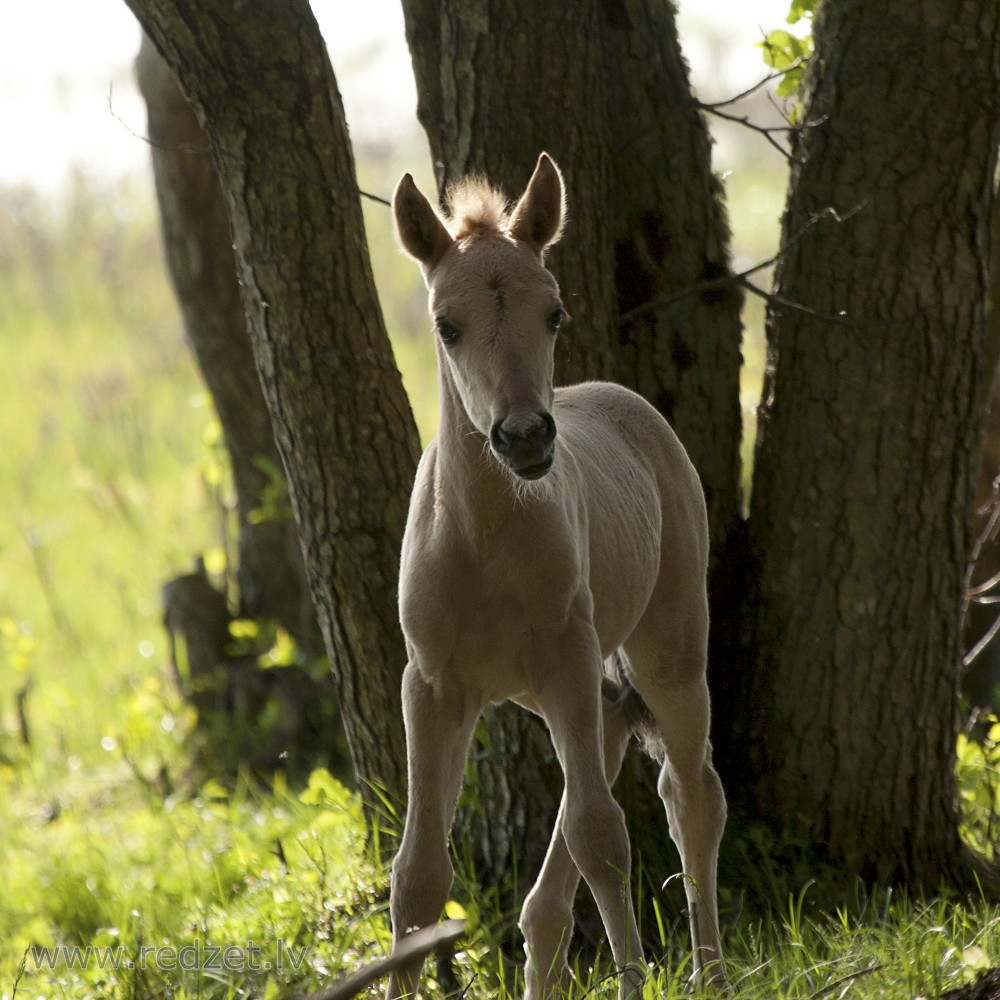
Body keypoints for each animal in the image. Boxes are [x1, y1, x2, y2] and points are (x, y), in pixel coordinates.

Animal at [384, 152, 728, 996]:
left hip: (665, 647)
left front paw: (636, 982)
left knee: (690, 797)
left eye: (556, 314)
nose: (525, 437)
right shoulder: (432, 686)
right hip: (568, 691)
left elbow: (604, 837)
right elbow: (417, 875)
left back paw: (711, 974)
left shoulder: (569, 657)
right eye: (446, 324)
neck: (482, 541)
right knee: (567, 851)